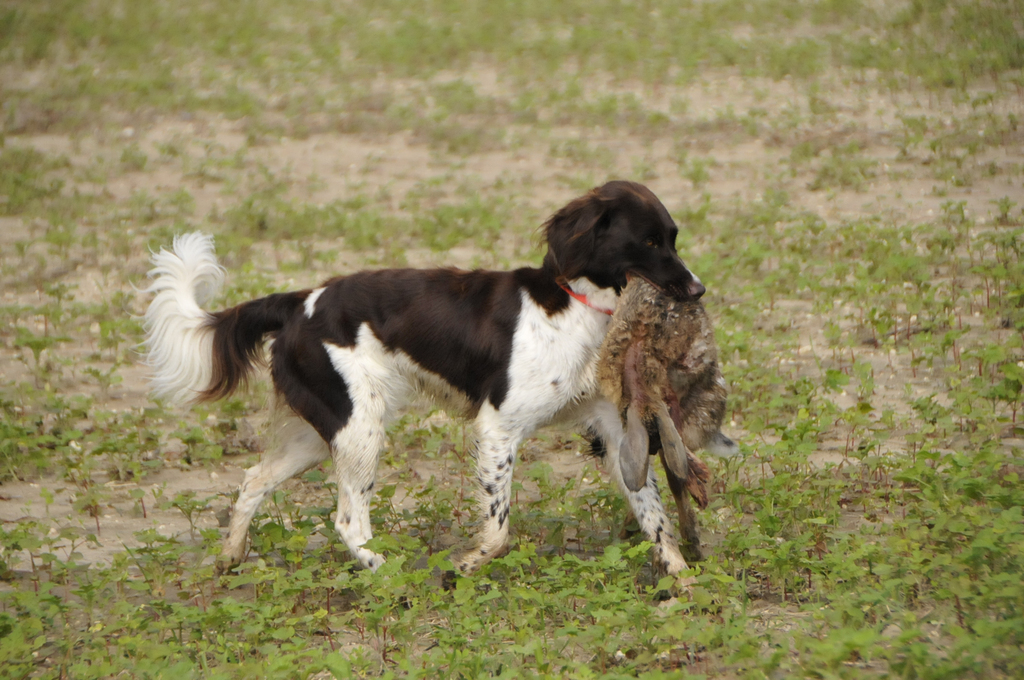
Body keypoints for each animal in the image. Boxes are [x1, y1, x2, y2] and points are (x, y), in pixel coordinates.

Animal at [142, 182, 704, 577]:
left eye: (674, 239)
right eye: (649, 242)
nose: (698, 290)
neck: (576, 307)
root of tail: (300, 301)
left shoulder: (614, 430)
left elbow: (654, 515)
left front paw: (681, 577)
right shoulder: (497, 428)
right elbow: (497, 531)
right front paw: (462, 565)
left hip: (324, 432)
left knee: (253, 479)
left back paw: (231, 555)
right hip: (359, 430)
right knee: (348, 519)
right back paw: (388, 573)